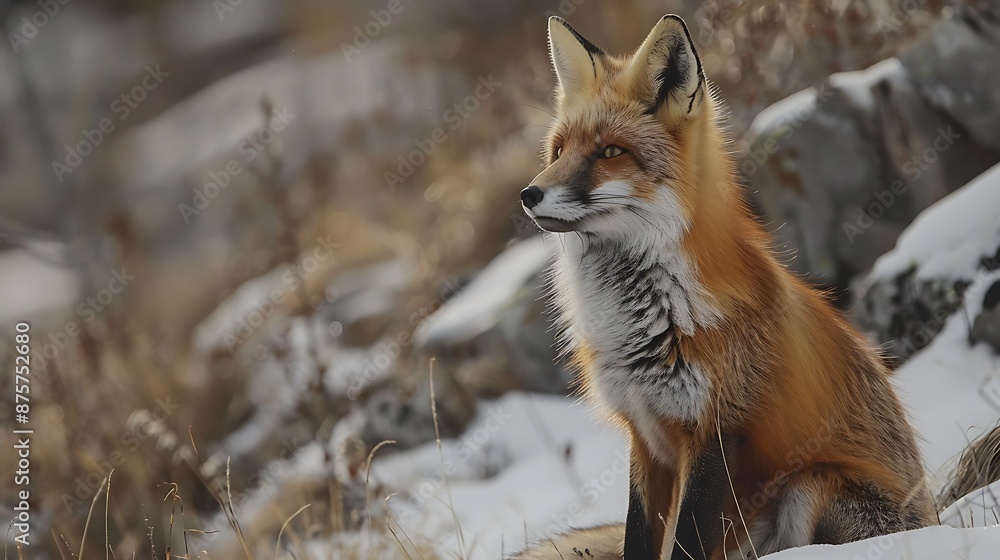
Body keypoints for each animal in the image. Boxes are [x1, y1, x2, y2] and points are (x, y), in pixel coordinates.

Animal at [514, 14, 938, 560]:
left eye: (610, 152)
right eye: (559, 150)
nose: (529, 194)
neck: (645, 321)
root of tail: (936, 516)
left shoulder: (715, 430)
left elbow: (684, 542)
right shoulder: (644, 436)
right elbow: (638, 537)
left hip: (811, 484)